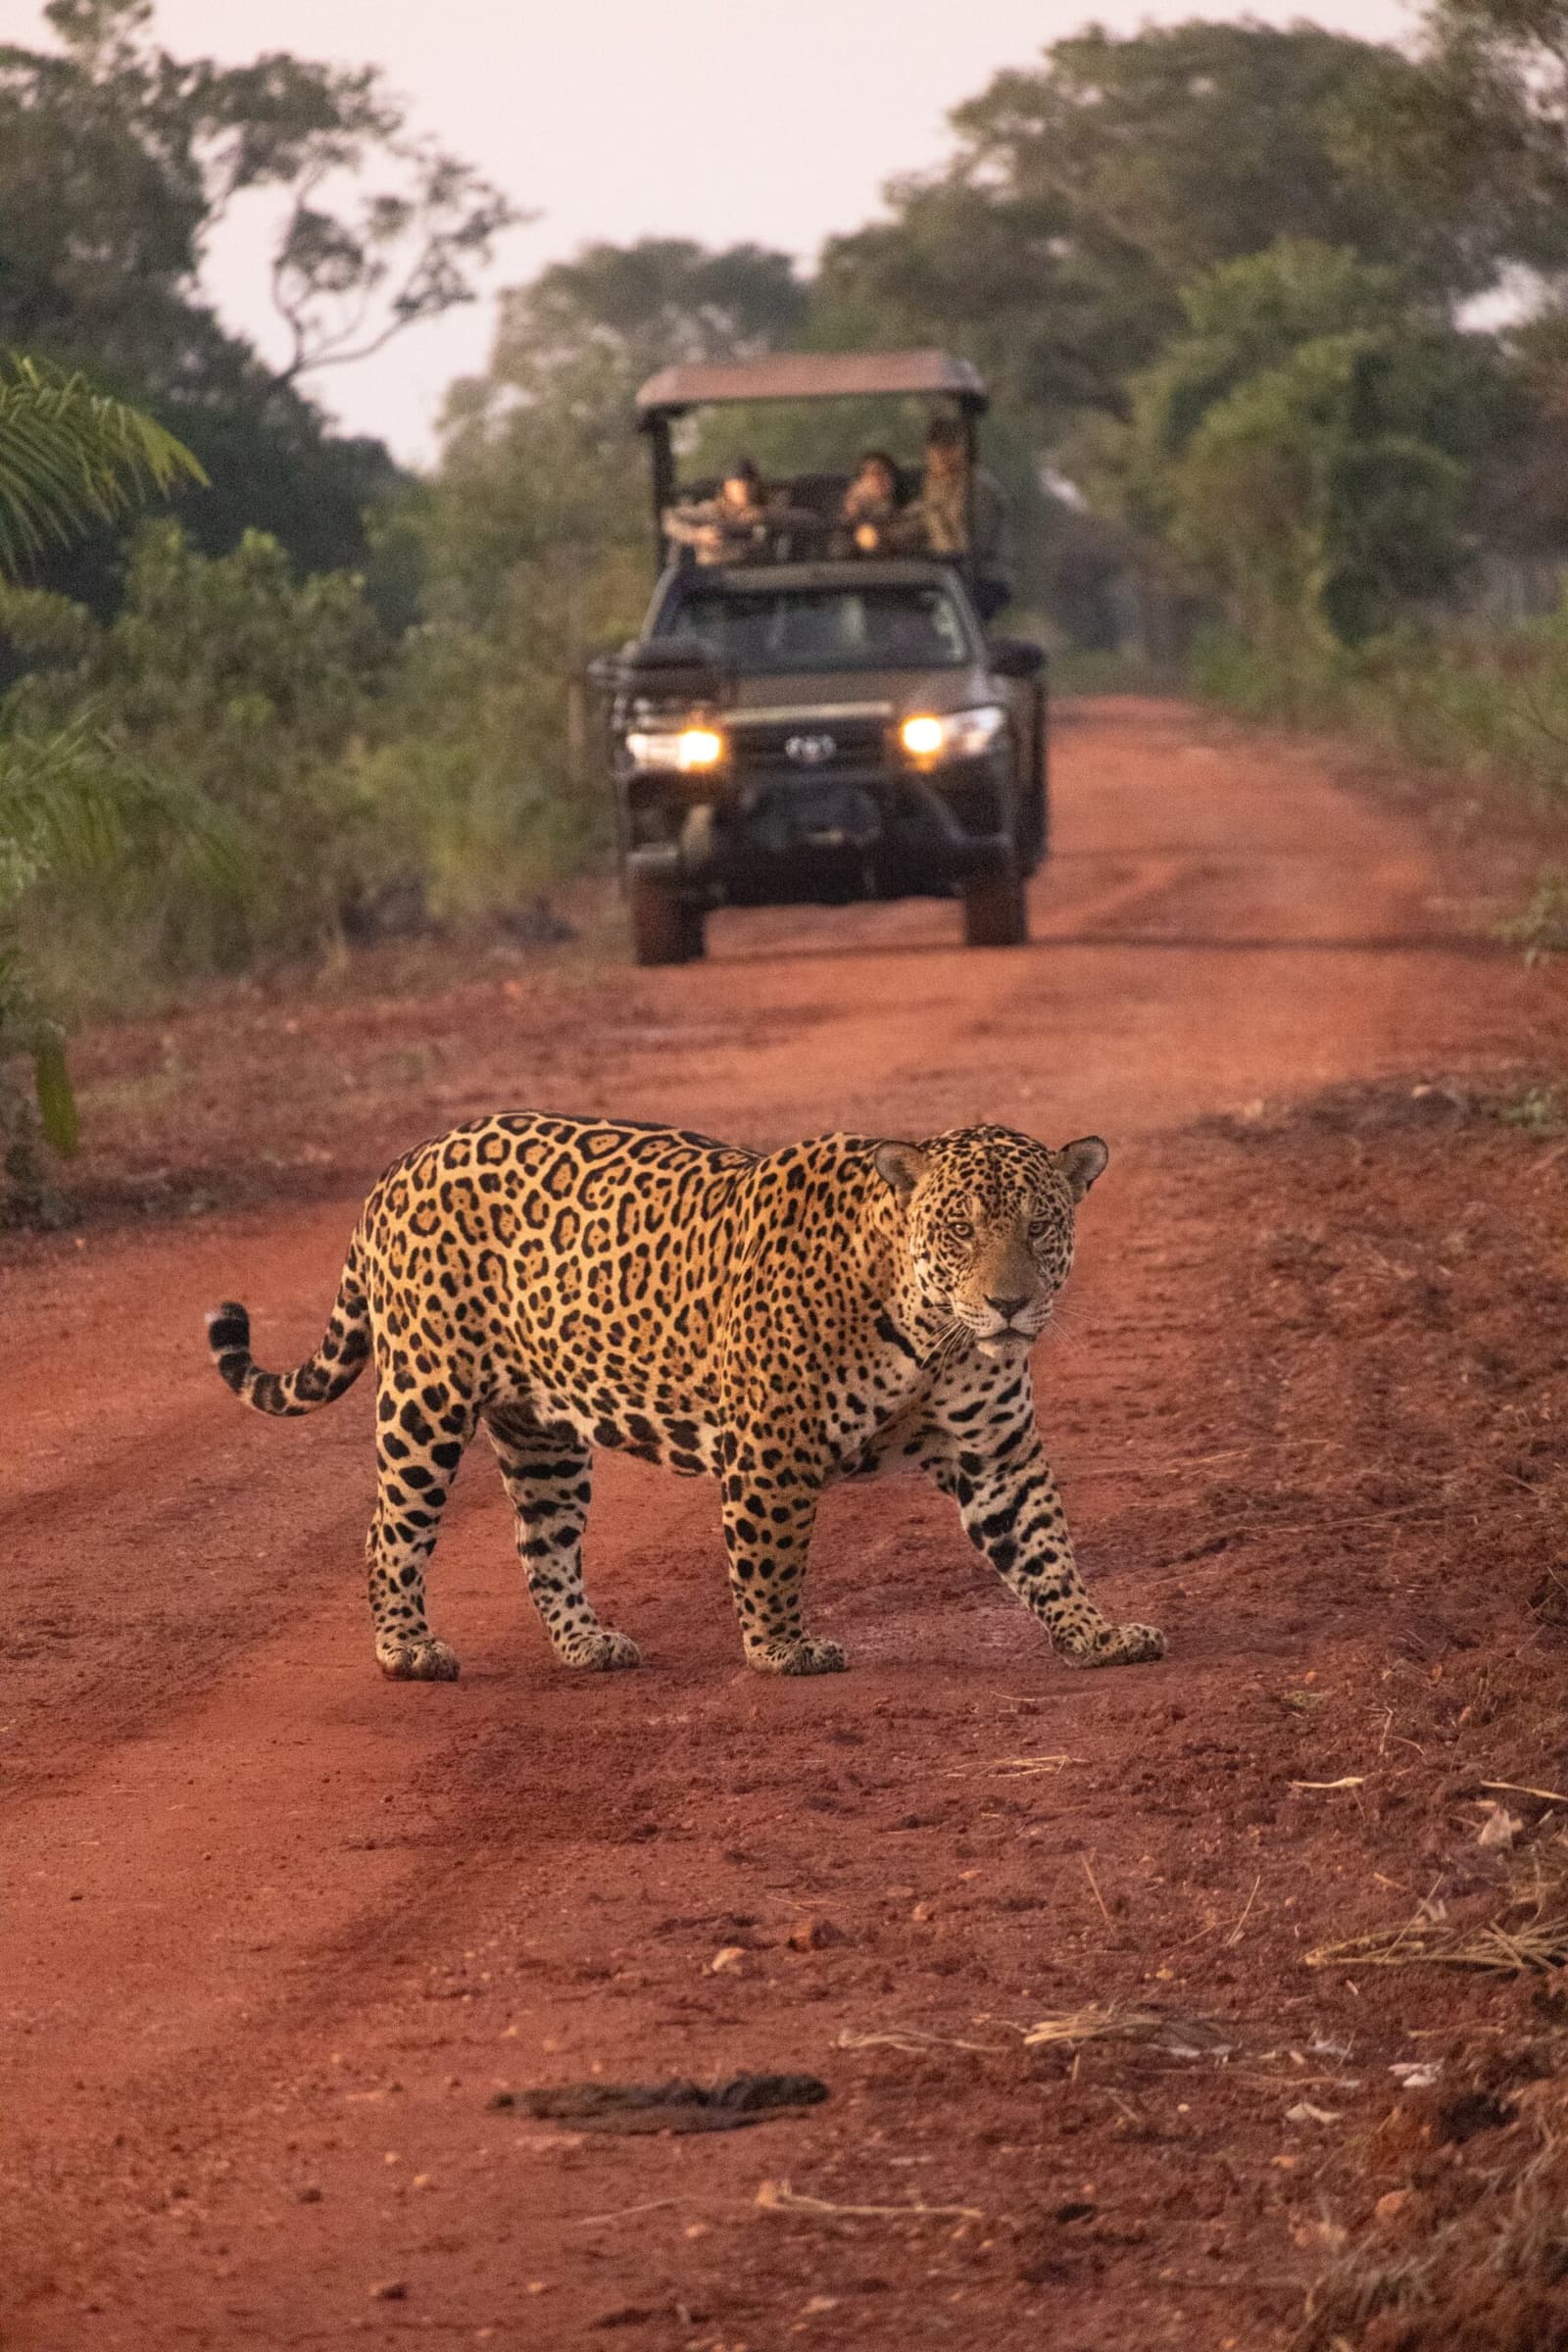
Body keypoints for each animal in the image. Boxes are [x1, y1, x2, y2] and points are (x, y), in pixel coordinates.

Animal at [205, 1113, 1164, 1684]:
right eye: (960, 1229)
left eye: (1040, 1225)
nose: (1008, 1304)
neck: (931, 1330)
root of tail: (405, 1163)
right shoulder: (775, 1448)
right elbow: (773, 1556)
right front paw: (782, 1649)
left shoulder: (995, 1453)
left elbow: (1045, 1546)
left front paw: (1099, 1632)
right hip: (426, 1398)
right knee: (389, 1530)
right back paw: (408, 1647)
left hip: (542, 1433)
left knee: (543, 1545)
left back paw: (588, 1645)